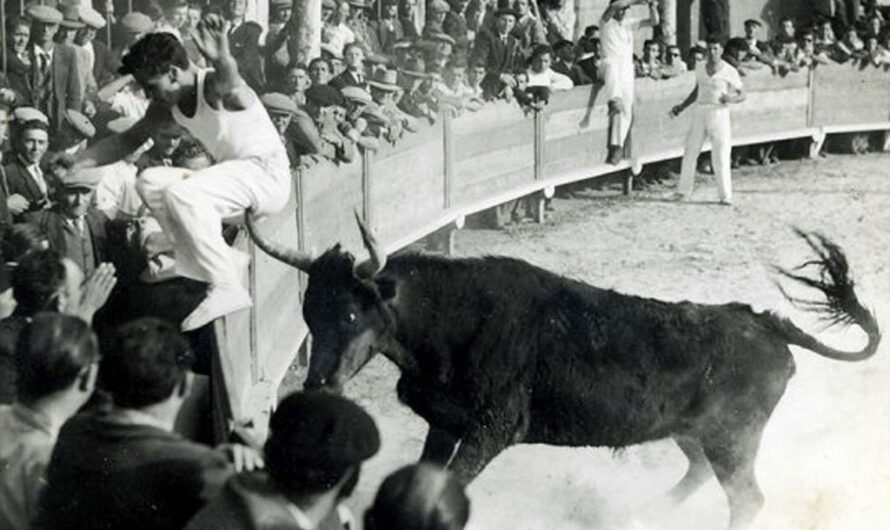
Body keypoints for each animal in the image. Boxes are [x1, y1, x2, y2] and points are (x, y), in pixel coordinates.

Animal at [246, 216, 876, 528]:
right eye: (309, 315)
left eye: (352, 314)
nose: (318, 384)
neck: (451, 320)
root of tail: (766, 323)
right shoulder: (445, 423)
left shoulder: (492, 430)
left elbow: (455, 483)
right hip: (695, 433)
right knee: (700, 475)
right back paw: (637, 515)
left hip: (733, 439)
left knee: (747, 500)